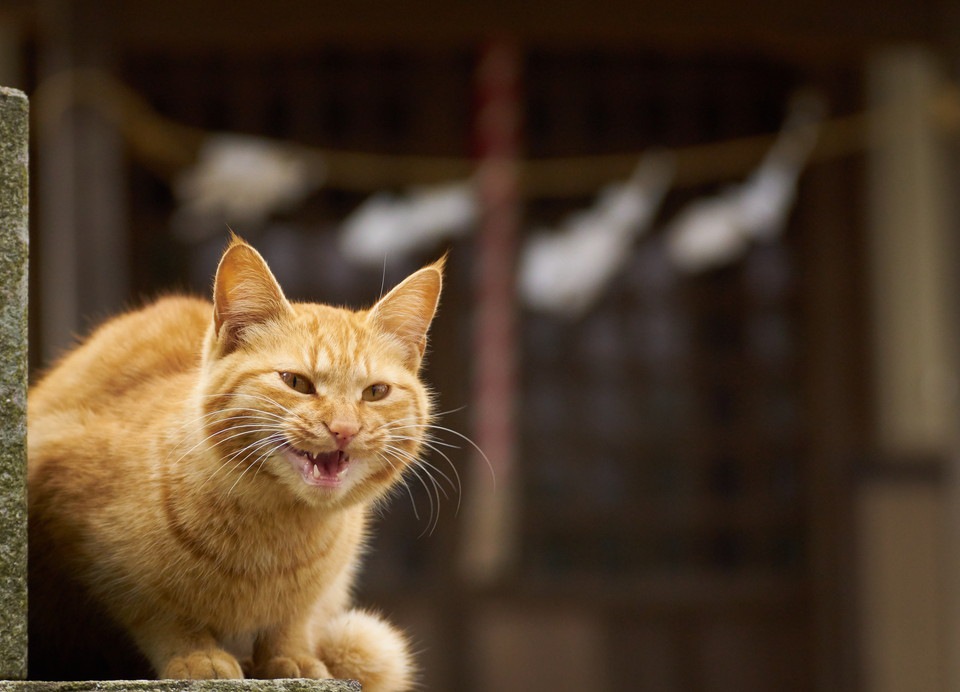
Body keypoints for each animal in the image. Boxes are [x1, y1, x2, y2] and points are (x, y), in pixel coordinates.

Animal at [24, 235, 440, 688]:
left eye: (376, 392)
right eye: (296, 382)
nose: (344, 428)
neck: (274, 537)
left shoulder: (320, 592)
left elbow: (293, 619)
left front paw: (291, 656)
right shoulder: (85, 538)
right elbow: (160, 610)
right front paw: (196, 654)